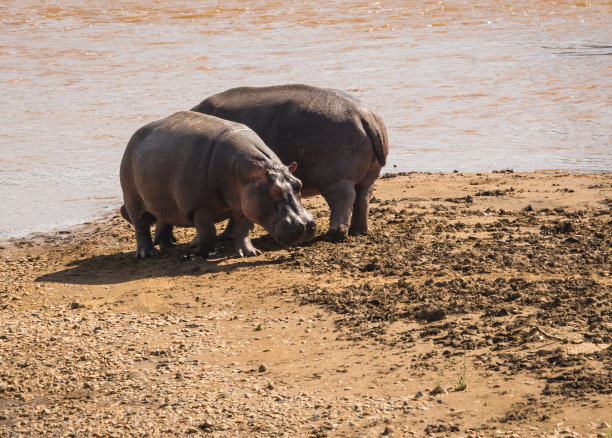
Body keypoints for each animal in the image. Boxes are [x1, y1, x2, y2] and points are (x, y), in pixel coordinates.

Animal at [119, 110, 316, 260]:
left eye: (298, 183)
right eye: (275, 190)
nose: (307, 225)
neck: (245, 174)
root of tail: (133, 137)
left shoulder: (244, 203)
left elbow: (242, 230)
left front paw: (249, 253)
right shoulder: (199, 206)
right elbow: (208, 232)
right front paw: (198, 251)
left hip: (163, 200)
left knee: (163, 218)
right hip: (133, 199)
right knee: (141, 226)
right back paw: (148, 254)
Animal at [192, 84, 388, 241]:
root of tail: (367, 117)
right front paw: (226, 236)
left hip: (337, 179)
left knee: (344, 199)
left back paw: (334, 235)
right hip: (369, 174)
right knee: (363, 197)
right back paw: (359, 231)